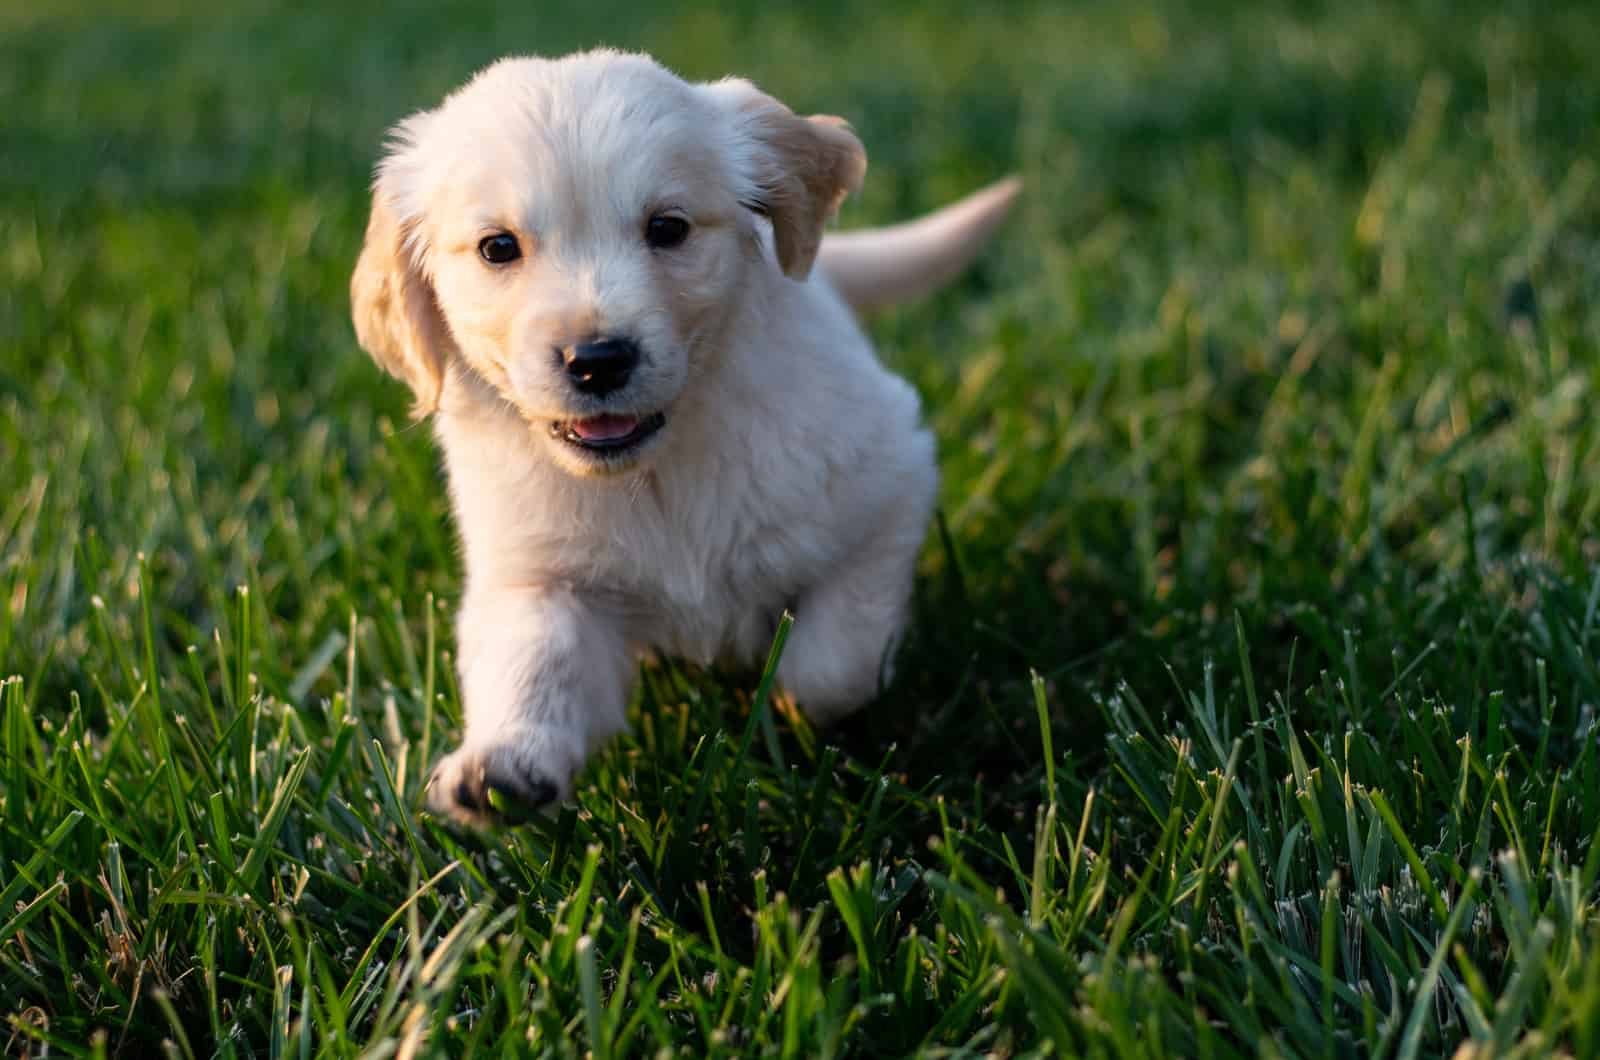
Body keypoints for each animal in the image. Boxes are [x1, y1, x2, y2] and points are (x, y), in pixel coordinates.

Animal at [350, 49, 1017, 832]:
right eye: (498, 248)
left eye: (667, 228)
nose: (597, 360)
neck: (656, 470)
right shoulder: (539, 573)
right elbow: (534, 661)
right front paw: (501, 767)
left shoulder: (891, 481)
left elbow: (832, 662)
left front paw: (790, 704)